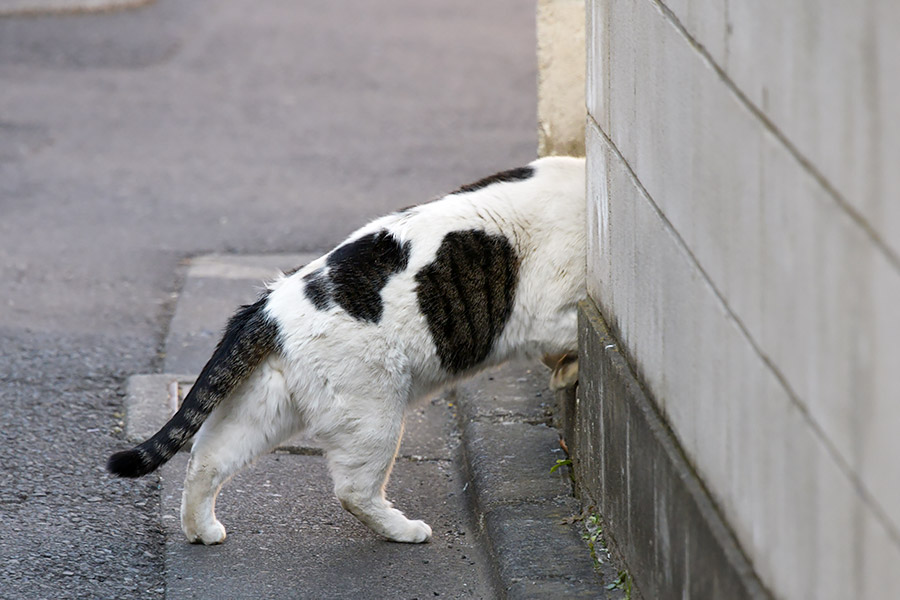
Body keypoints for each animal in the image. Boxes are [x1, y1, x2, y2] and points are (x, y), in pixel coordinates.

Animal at [107, 155, 584, 544]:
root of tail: (267, 308)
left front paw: (562, 371)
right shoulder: (546, 312)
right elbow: (575, 331)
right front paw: (569, 370)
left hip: (265, 409)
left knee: (205, 459)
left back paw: (201, 530)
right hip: (373, 414)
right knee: (353, 492)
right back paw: (403, 530)